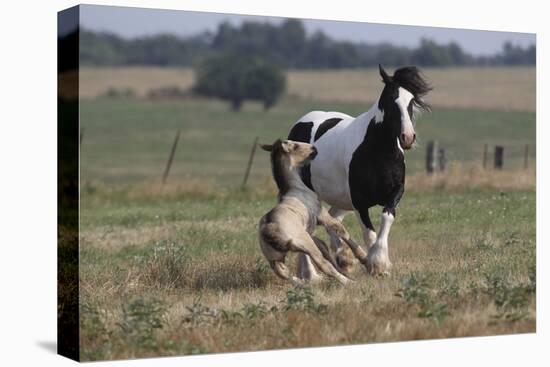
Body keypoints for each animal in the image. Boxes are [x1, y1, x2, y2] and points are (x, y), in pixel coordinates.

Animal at [258, 139, 354, 286]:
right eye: (295, 145)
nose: (314, 148)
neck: (296, 187)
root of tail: (268, 228)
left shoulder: (312, 230)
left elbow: (325, 245)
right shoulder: (323, 216)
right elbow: (342, 231)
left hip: (274, 259)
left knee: (283, 273)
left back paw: (302, 283)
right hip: (307, 244)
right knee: (323, 264)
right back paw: (348, 282)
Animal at [286, 65, 434, 276]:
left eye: (412, 100)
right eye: (390, 99)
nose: (407, 137)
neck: (378, 152)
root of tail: (300, 124)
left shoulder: (396, 191)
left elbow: (386, 217)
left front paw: (380, 263)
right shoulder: (359, 201)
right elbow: (369, 233)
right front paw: (376, 265)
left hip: (340, 199)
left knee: (331, 220)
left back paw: (342, 259)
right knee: (310, 227)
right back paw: (311, 274)